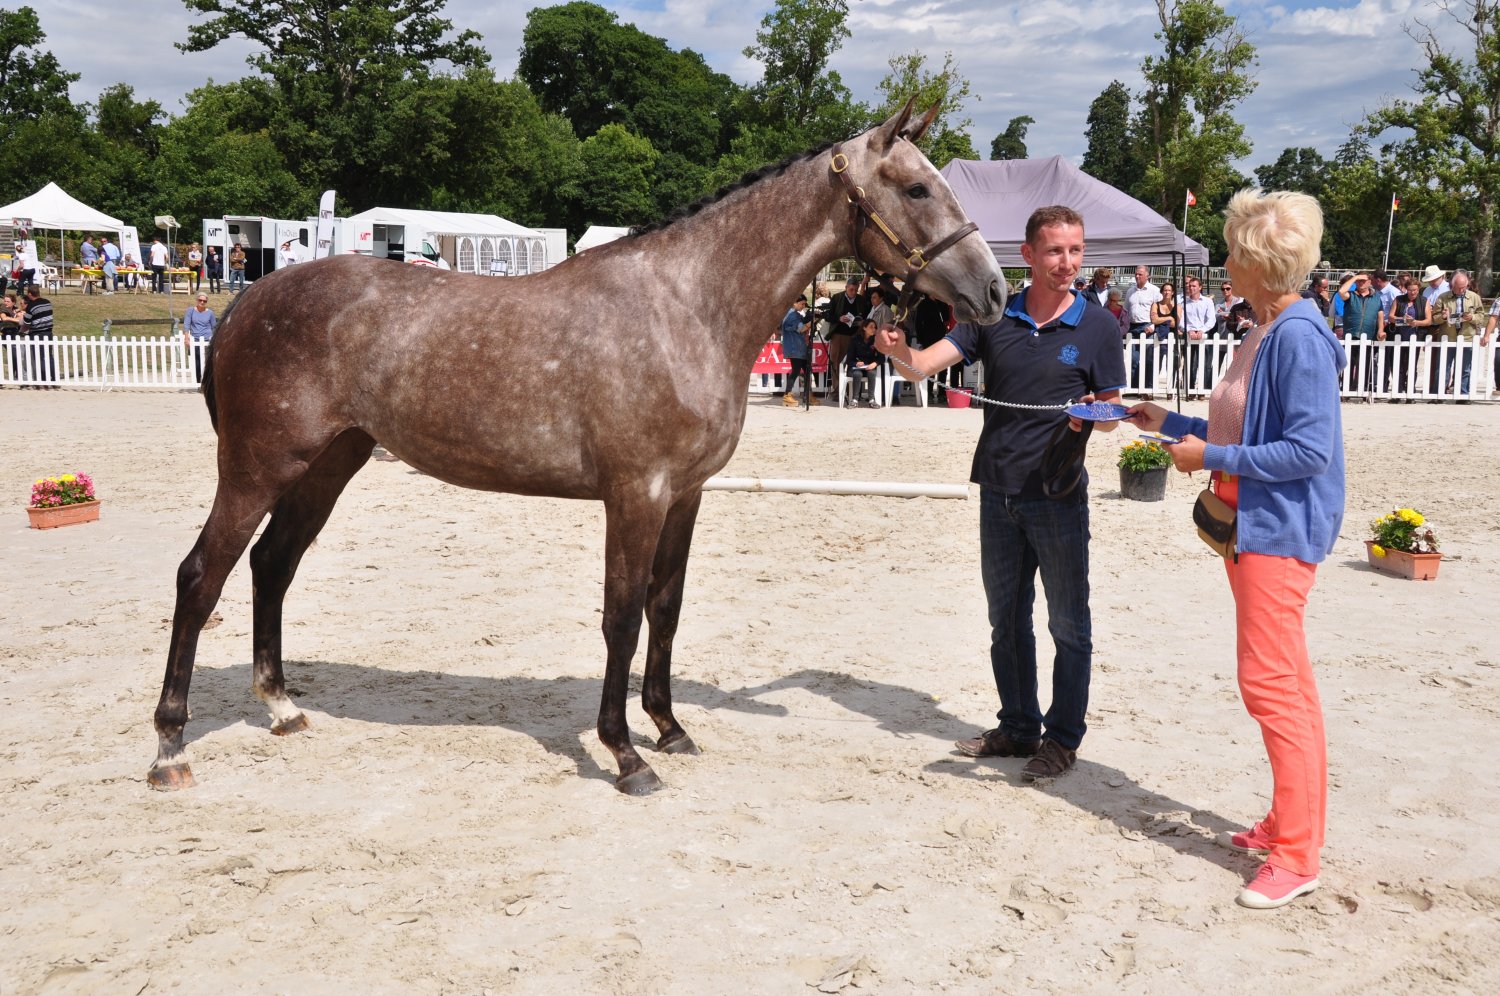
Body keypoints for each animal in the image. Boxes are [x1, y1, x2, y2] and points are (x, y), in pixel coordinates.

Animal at [149, 100, 1007, 795]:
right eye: (918, 188)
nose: (994, 292)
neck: (686, 306)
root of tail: (250, 297)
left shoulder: (685, 495)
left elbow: (666, 608)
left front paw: (669, 726)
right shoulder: (636, 493)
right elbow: (620, 617)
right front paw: (625, 754)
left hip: (328, 464)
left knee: (272, 566)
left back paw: (282, 707)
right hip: (258, 469)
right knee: (200, 576)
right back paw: (169, 746)